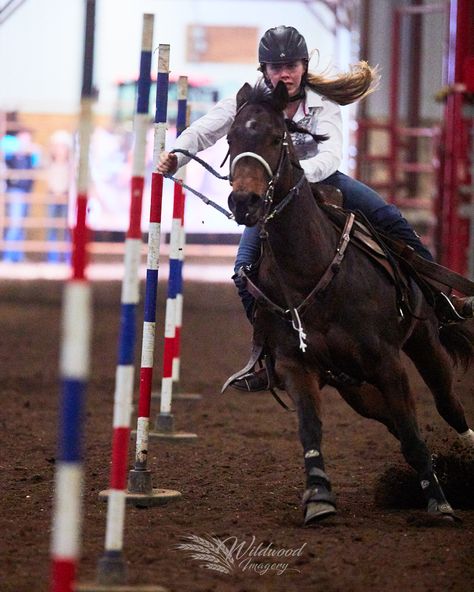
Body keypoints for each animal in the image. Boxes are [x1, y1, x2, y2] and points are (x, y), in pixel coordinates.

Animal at [225, 81, 474, 524]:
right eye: (231, 138)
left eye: (276, 138)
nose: (244, 202)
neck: (312, 270)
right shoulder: (297, 366)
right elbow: (311, 428)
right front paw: (319, 497)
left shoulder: (388, 363)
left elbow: (413, 432)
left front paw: (439, 502)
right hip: (354, 387)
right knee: (392, 420)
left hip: (425, 342)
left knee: (447, 404)